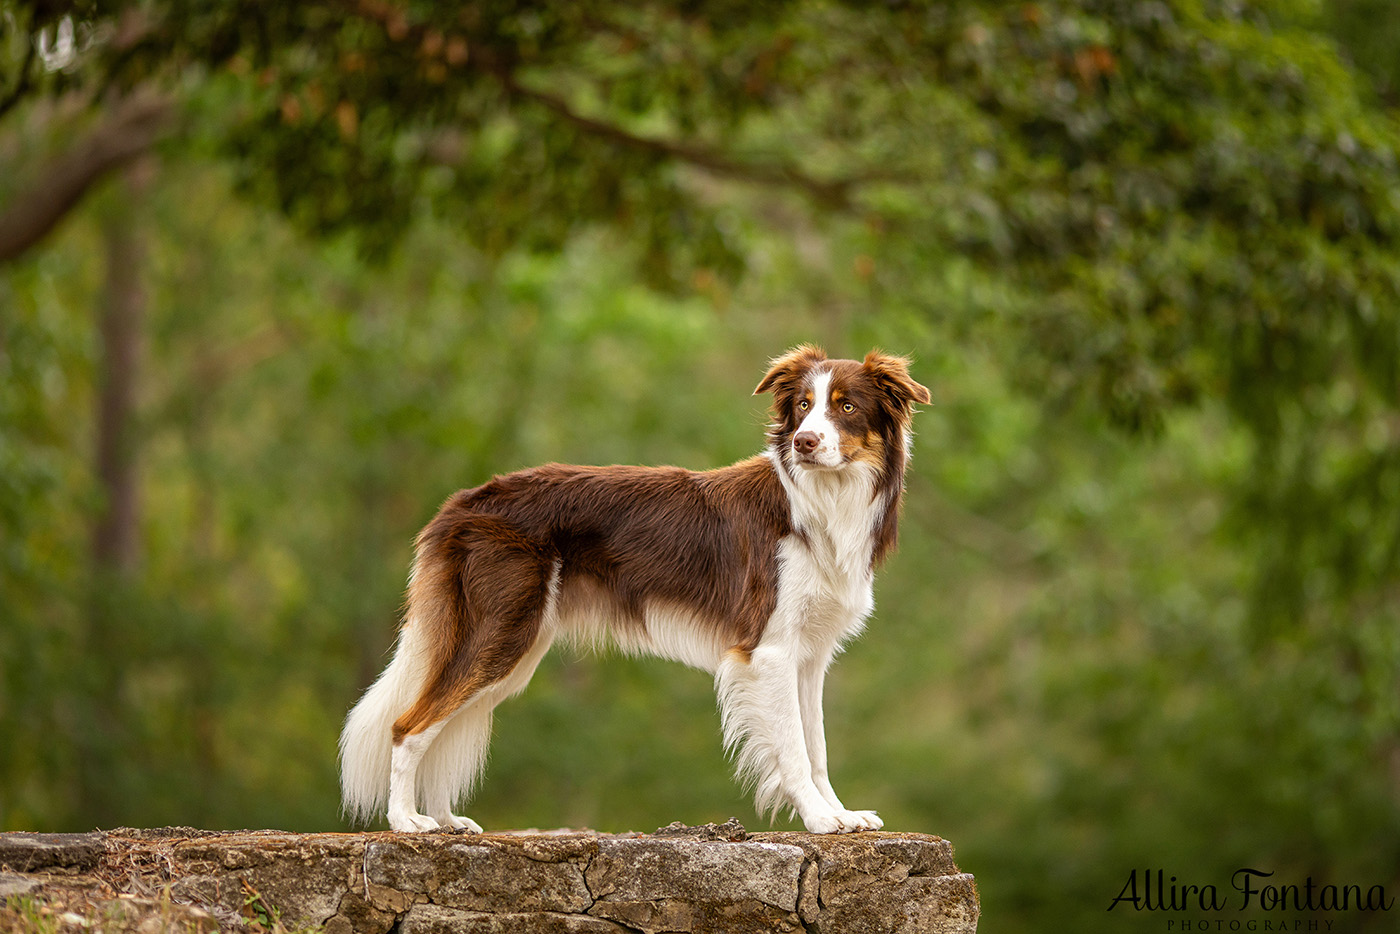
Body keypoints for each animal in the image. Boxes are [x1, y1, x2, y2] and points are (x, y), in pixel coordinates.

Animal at [338, 347, 929, 834]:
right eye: (804, 406)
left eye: (847, 407)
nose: (805, 442)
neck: (820, 503)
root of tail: (459, 504)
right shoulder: (771, 650)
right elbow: (794, 750)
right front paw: (818, 819)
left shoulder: (809, 656)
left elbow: (817, 746)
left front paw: (841, 813)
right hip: (501, 632)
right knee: (409, 725)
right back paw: (405, 822)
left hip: (513, 646)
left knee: (447, 724)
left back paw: (442, 820)